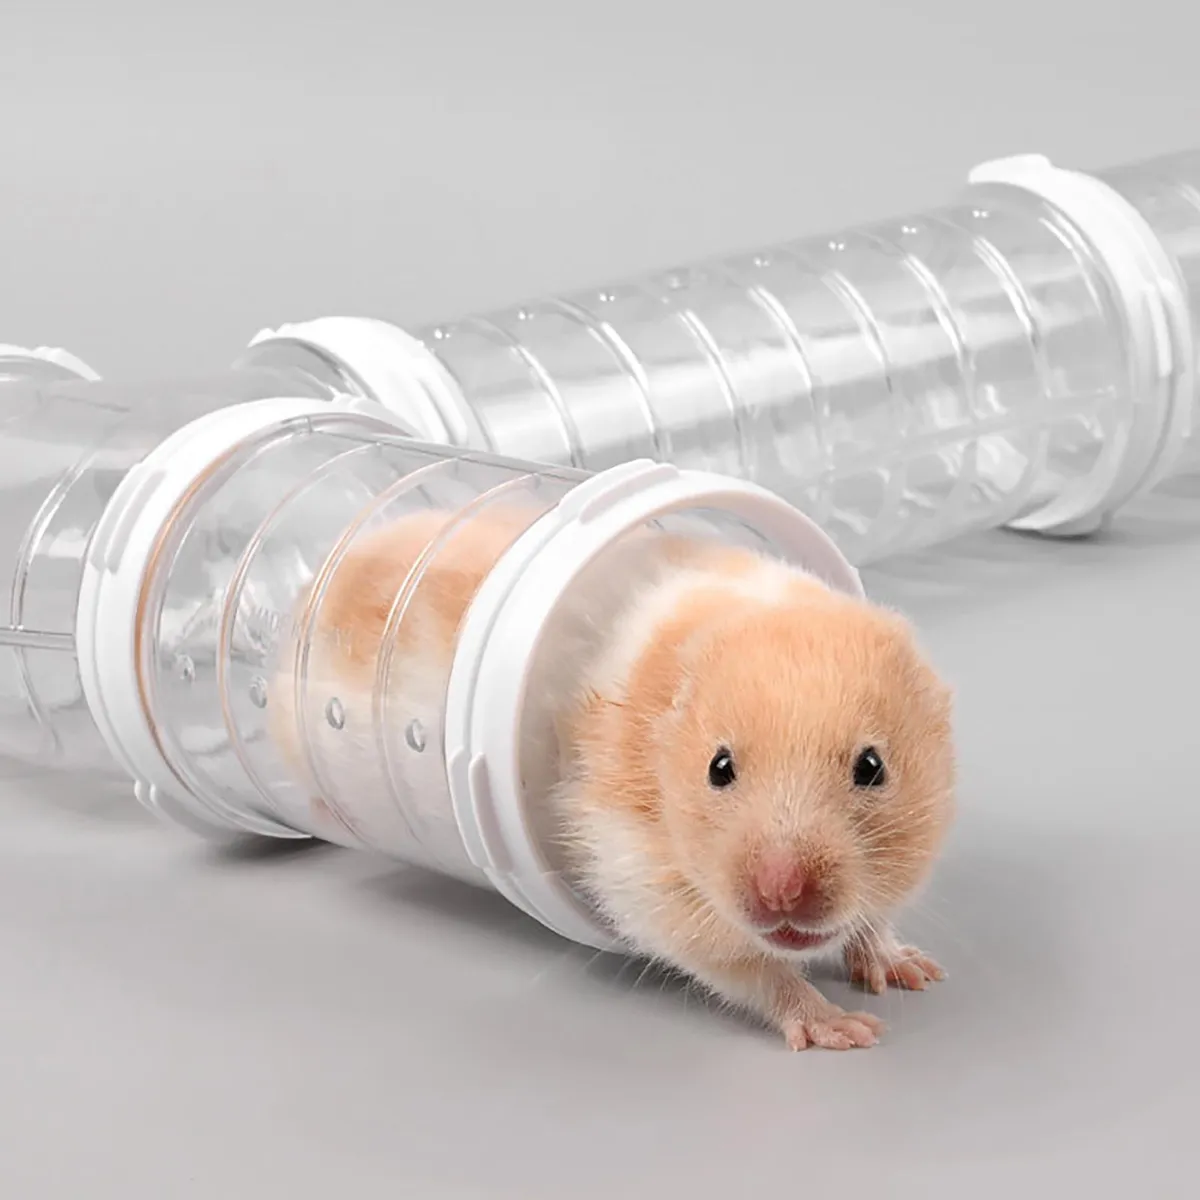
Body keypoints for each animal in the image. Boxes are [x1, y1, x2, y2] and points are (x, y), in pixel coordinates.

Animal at [271, 504, 956, 1051]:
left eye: (872, 767)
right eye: (719, 768)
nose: (781, 896)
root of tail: (312, 587)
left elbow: (870, 922)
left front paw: (915, 971)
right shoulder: (644, 888)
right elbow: (753, 971)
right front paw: (848, 1030)